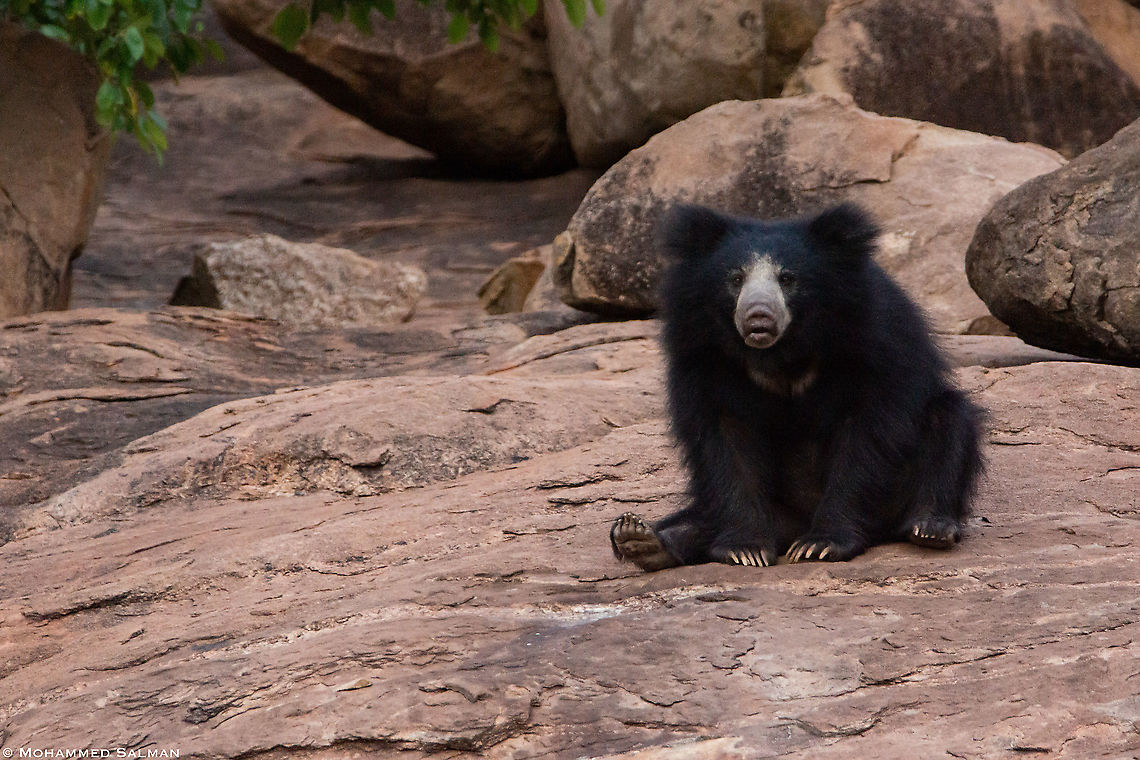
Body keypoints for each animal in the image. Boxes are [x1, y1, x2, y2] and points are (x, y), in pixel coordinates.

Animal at [610, 202, 984, 571]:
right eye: (735, 279)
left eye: (788, 279)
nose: (758, 317)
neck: (781, 351)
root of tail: (794, 523)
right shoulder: (700, 355)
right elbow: (724, 441)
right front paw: (745, 549)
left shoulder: (876, 342)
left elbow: (868, 437)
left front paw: (820, 544)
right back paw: (642, 537)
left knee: (948, 420)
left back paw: (930, 527)